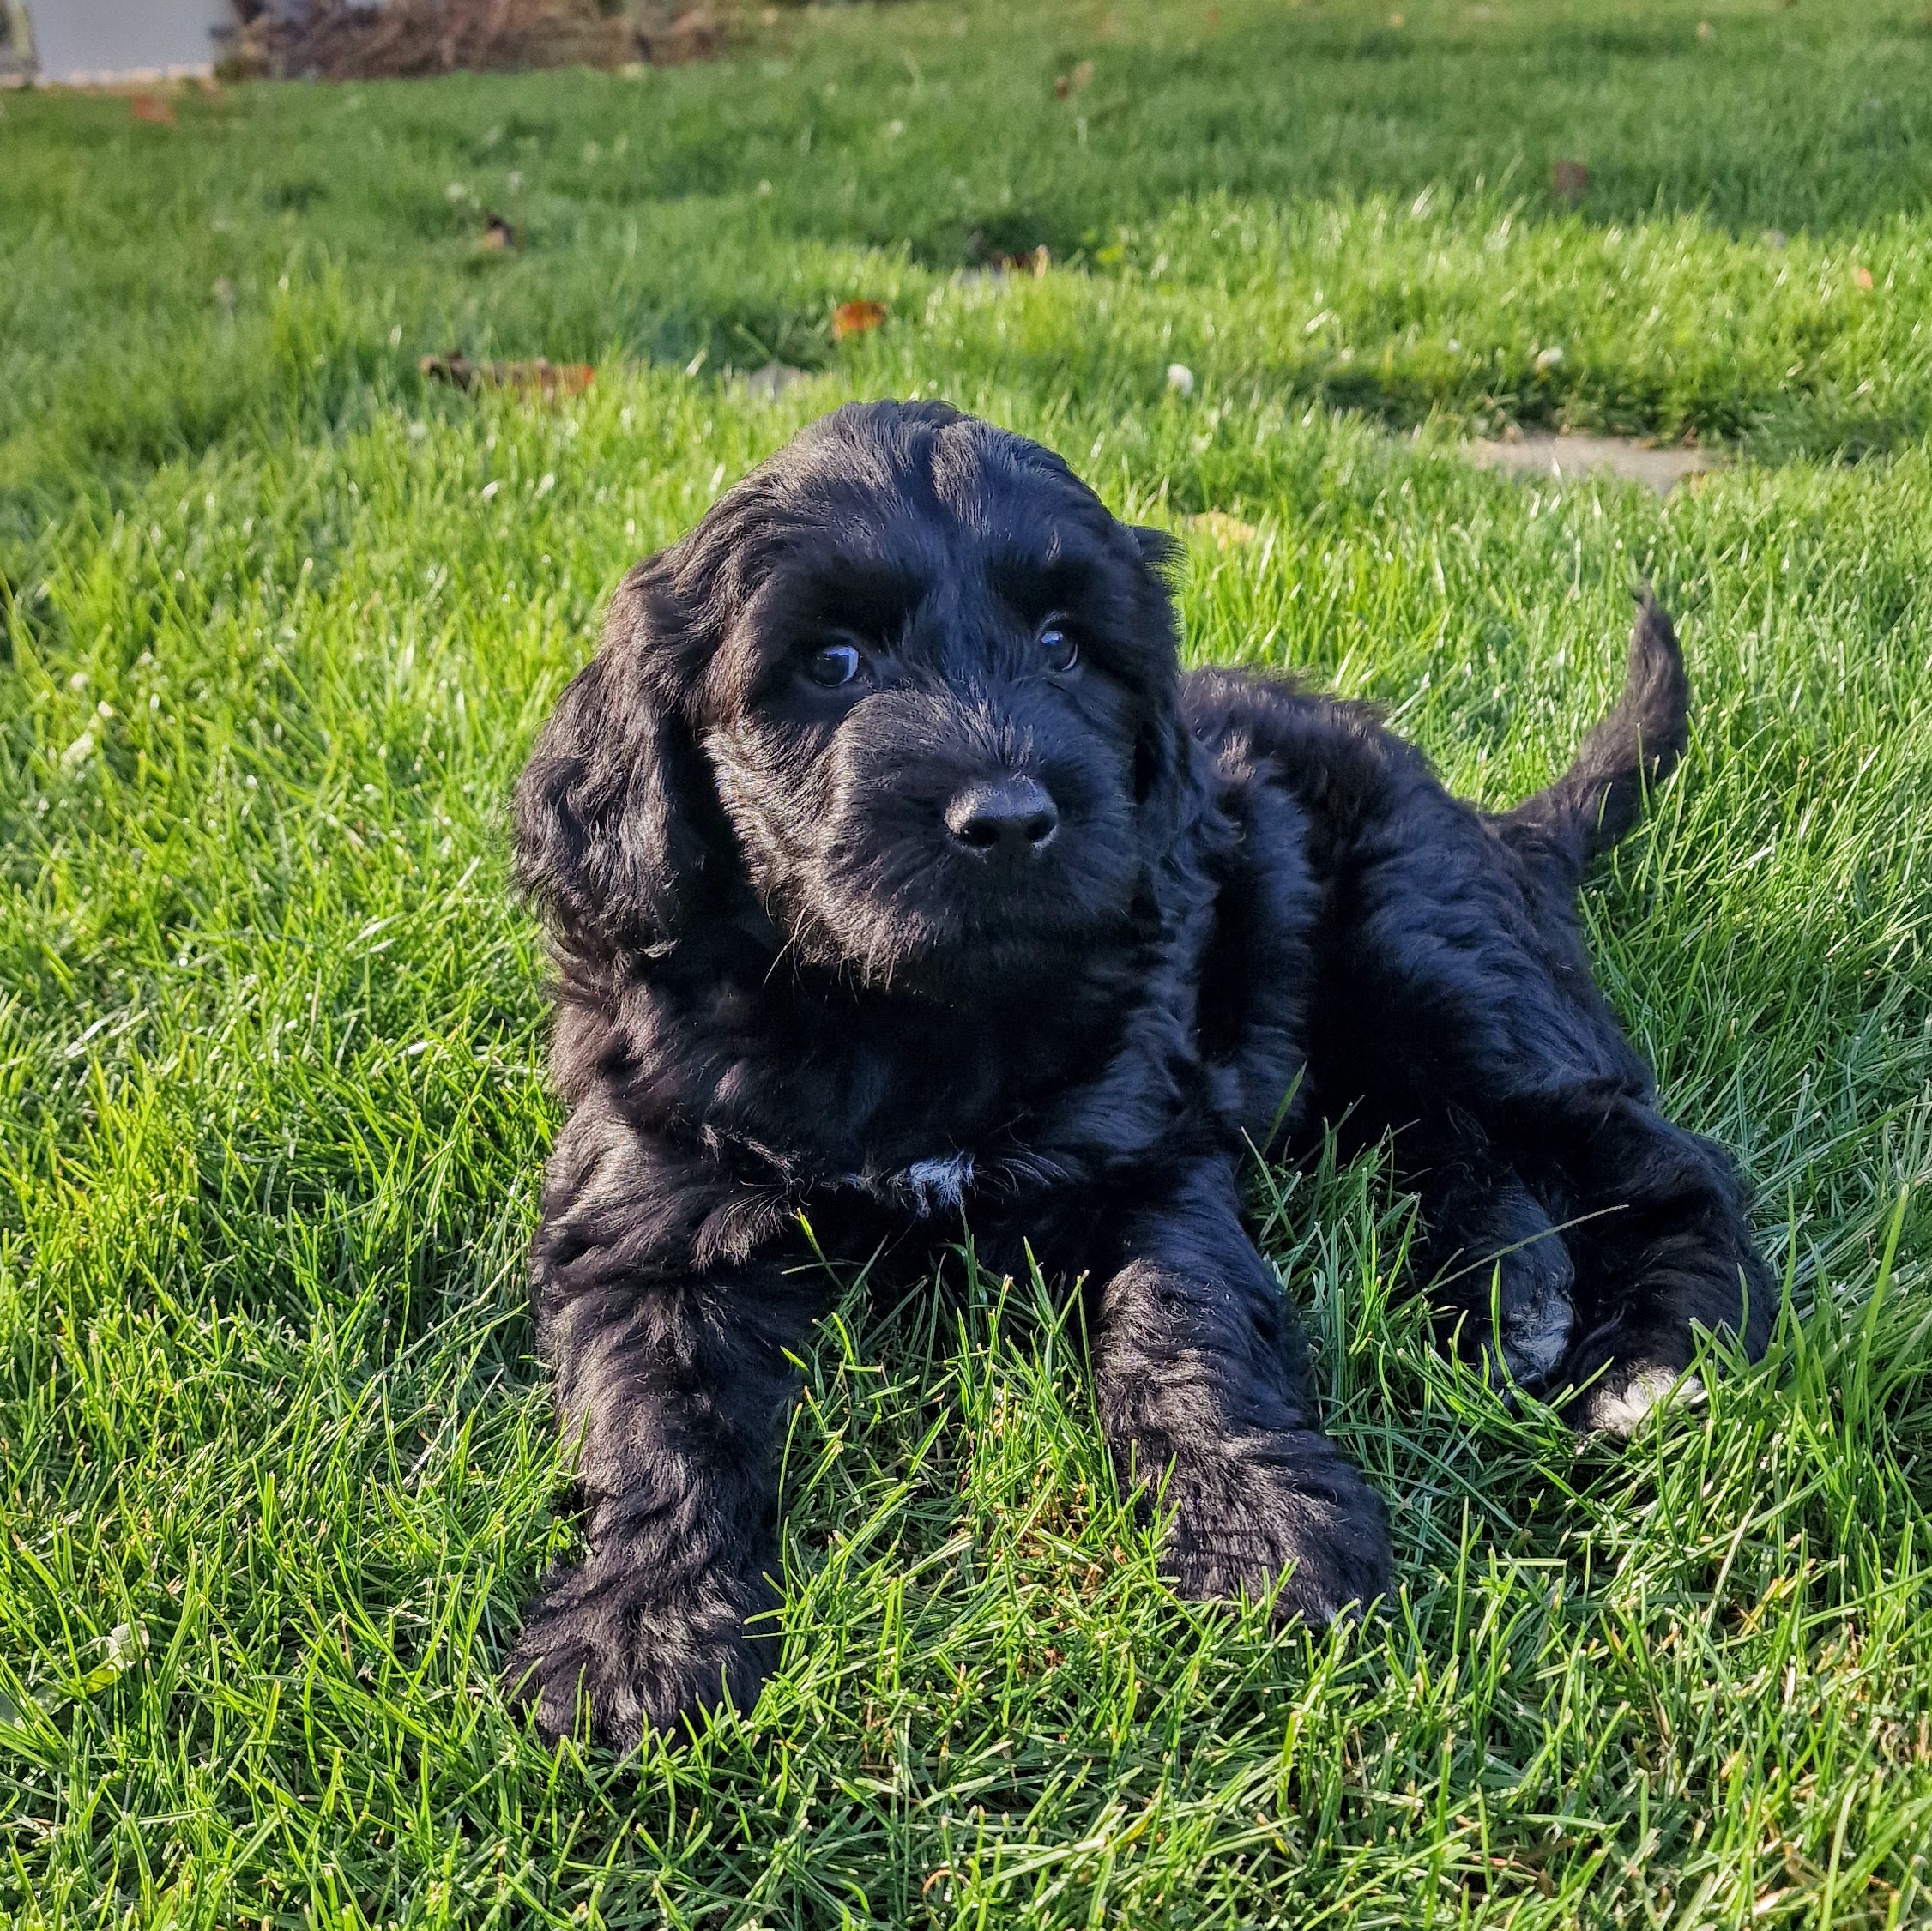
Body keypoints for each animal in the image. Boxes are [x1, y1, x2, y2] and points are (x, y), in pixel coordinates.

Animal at [506, 399, 1769, 1745]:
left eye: (1066, 648)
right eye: (830, 662)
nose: (1010, 817)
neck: (907, 1014)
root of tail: (1491, 820)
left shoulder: (1146, 1149)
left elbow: (1185, 1325)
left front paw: (1259, 1532)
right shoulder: (654, 1198)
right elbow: (660, 1416)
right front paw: (639, 1630)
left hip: (1432, 949)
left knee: (1649, 1151)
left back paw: (1650, 1357)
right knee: (1455, 1139)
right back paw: (1511, 1292)